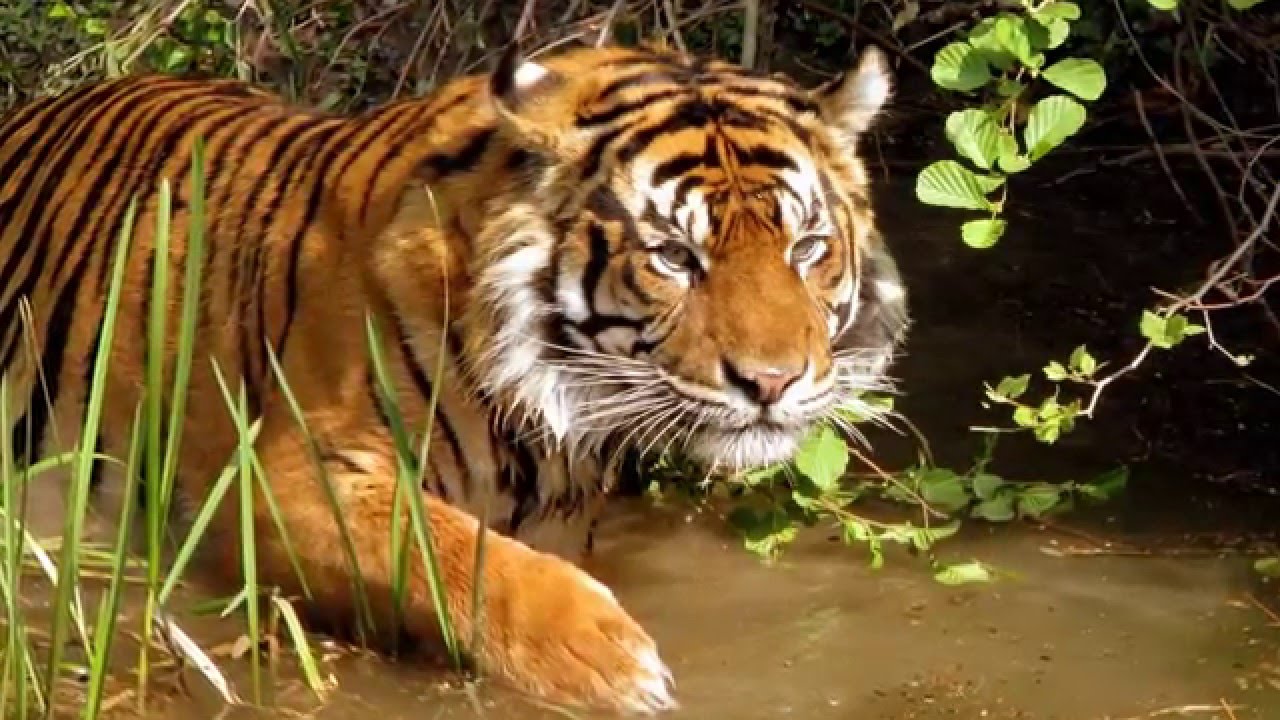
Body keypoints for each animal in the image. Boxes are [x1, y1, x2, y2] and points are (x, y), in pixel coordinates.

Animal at [0, 38, 907, 714]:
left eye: (807, 248)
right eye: (675, 257)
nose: (772, 382)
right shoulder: (278, 478)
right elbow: (459, 555)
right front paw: (616, 663)